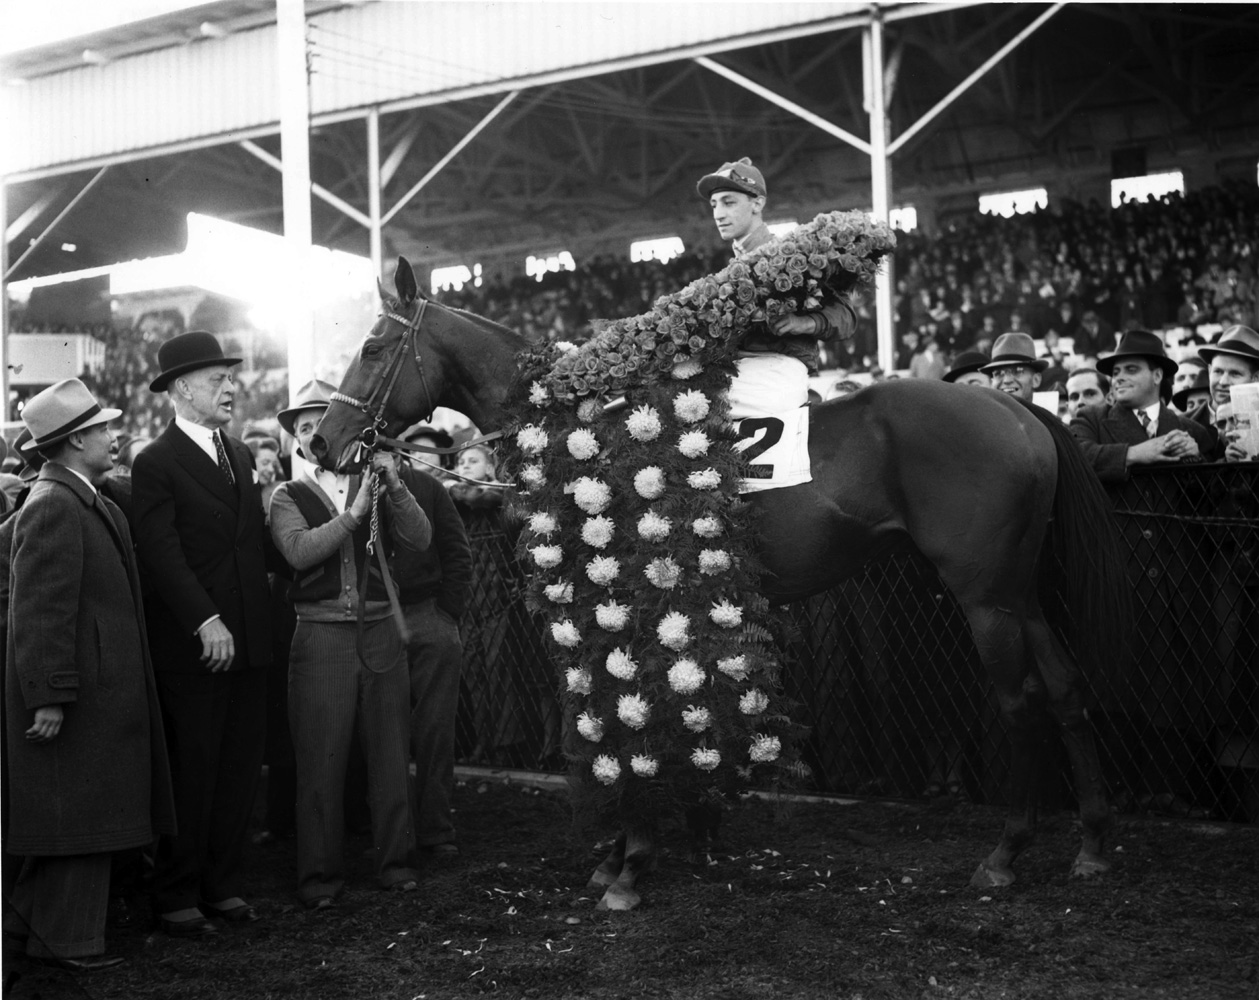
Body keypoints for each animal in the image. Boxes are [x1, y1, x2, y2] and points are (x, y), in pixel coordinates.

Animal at [312, 256, 1133, 896]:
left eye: (374, 347)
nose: (322, 440)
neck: (573, 430)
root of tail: (1016, 411)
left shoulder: (611, 601)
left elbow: (625, 721)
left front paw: (631, 861)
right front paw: (634, 850)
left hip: (984, 595)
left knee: (1020, 702)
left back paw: (1005, 854)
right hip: (1020, 590)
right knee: (1065, 689)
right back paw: (1091, 843)